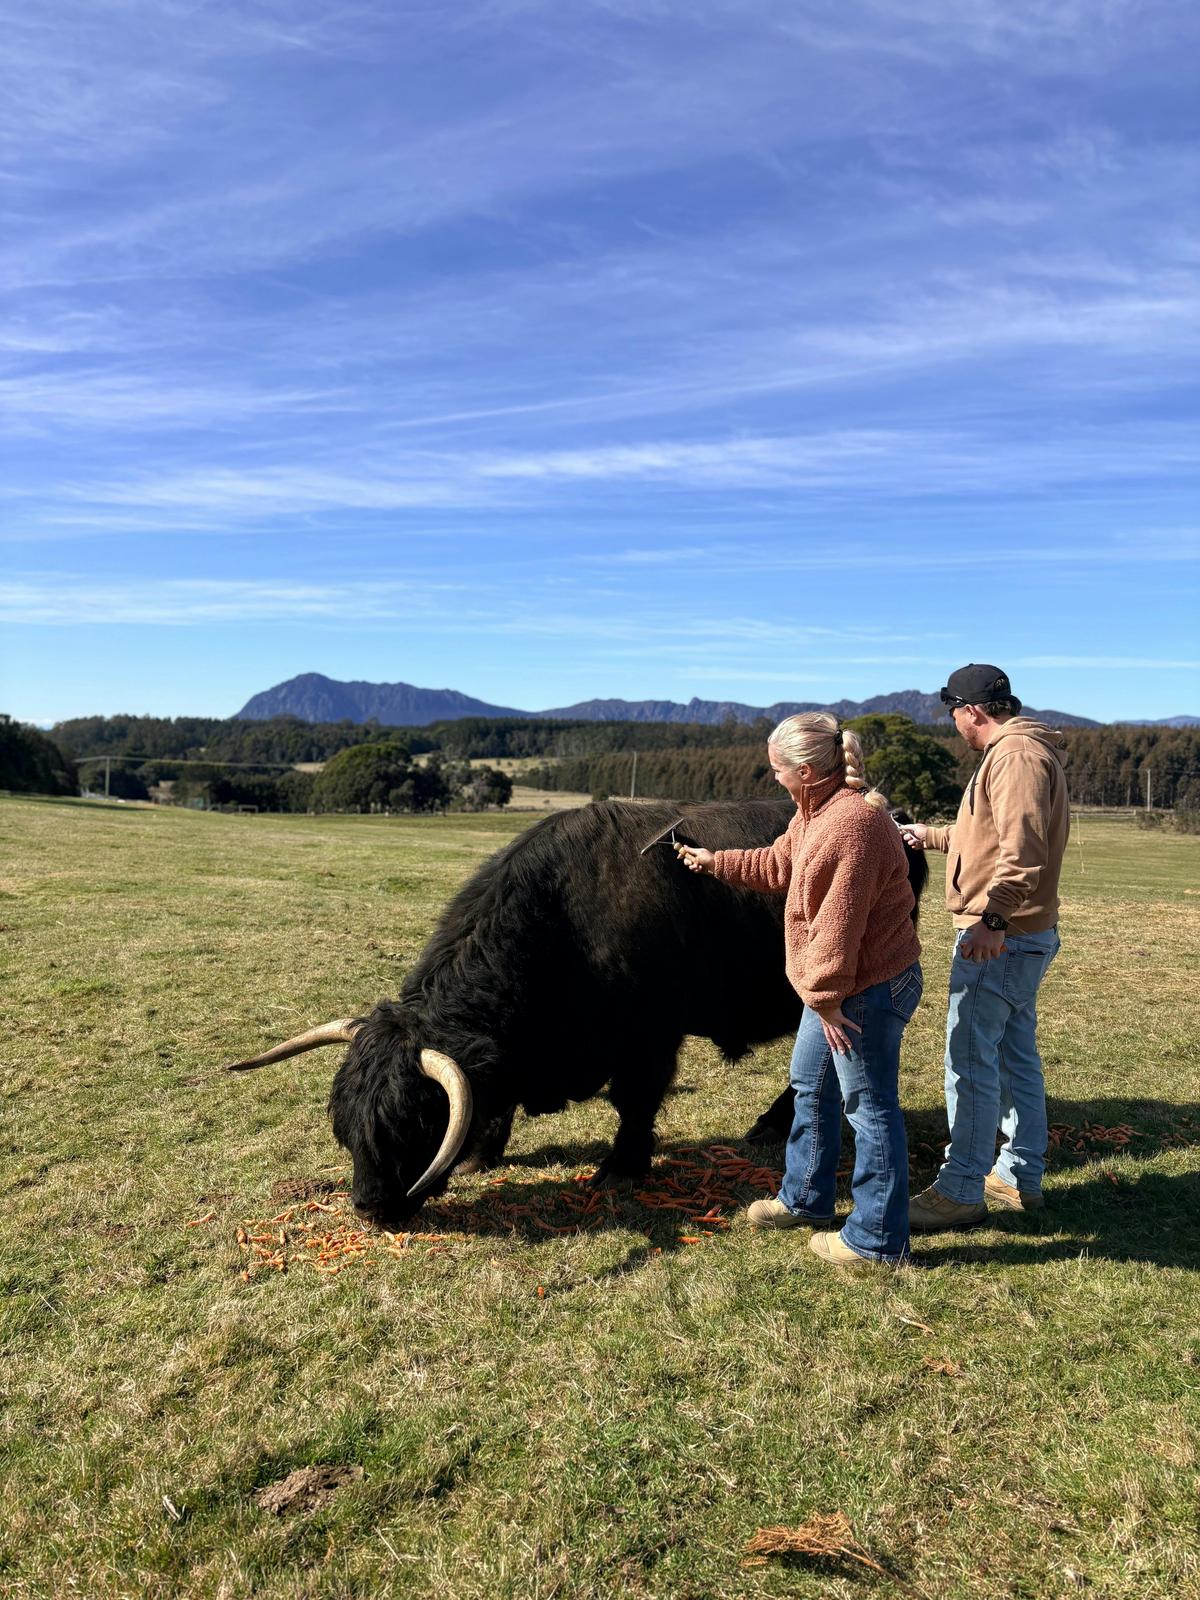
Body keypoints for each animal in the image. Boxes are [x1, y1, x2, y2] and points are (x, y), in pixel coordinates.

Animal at [226, 796, 927, 1227]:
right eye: (345, 1128)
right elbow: (496, 1097)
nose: (371, 1209)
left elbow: (634, 1101)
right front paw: (481, 1152)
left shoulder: (650, 1036)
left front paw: (621, 1167)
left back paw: (772, 1123)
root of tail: (896, 820)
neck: (564, 923)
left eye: (415, 1123)